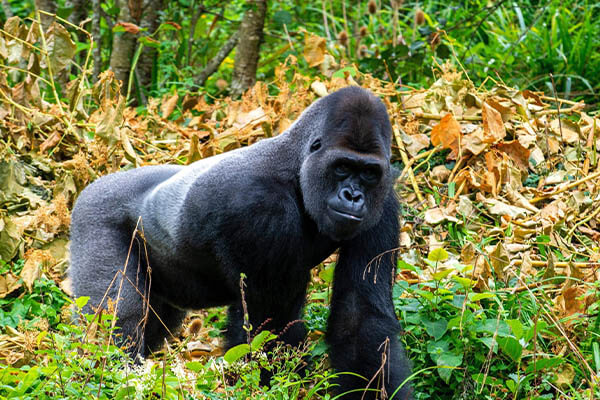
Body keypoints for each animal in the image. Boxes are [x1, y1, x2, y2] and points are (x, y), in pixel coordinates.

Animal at [68, 86, 410, 398]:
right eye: (342, 167)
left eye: (369, 173)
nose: (353, 196)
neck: (296, 167)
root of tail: (95, 184)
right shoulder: (260, 208)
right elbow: (268, 329)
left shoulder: (384, 204)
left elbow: (359, 318)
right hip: (94, 215)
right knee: (117, 323)